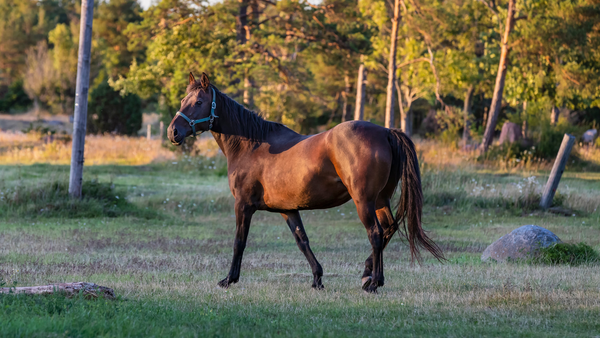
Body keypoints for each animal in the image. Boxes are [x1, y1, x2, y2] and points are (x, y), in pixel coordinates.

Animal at [166, 72, 442, 294]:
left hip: (364, 201)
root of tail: (385, 132)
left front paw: (229, 279)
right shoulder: (288, 209)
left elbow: (239, 242)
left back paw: (373, 283)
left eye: (198, 102)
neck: (252, 145)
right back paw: (368, 275)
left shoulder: (243, 205)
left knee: (375, 233)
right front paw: (317, 279)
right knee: (388, 229)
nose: (173, 132)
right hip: (380, 200)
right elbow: (302, 240)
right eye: (182, 101)